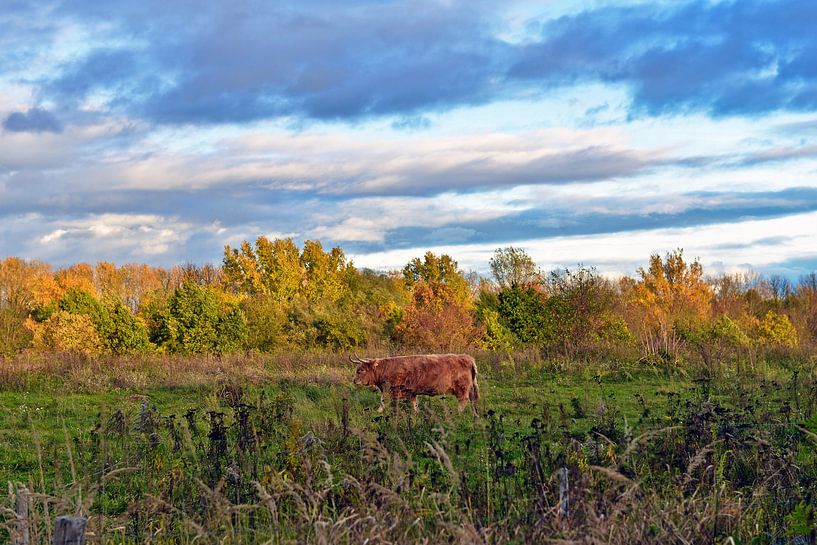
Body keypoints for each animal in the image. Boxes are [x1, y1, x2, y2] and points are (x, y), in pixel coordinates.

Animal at [351, 353, 479, 413]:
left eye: (361, 370)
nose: (354, 380)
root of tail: (468, 358)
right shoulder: (411, 392)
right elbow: (414, 404)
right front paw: (417, 413)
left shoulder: (391, 390)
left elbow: (382, 402)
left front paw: (376, 413)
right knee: (472, 400)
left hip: (462, 387)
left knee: (463, 400)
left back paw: (459, 413)